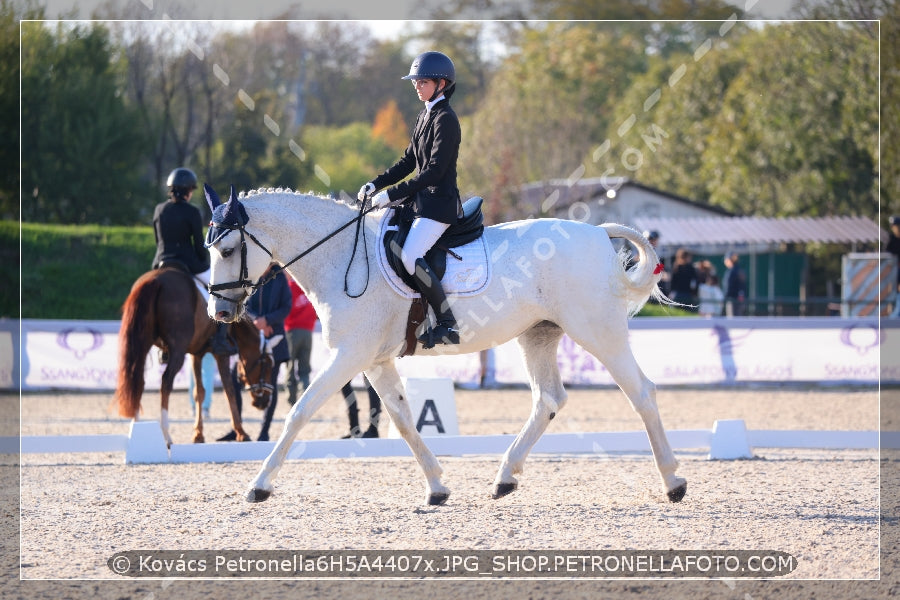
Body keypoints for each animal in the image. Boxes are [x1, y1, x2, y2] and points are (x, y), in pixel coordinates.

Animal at [117, 268, 278, 446]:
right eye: (268, 365)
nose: (265, 402)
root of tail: (155, 279)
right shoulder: (220, 354)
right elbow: (228, 390)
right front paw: (241, 432)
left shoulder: (196, 354)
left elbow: (199, 391)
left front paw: (198, 434)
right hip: (177, 350)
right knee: (166, 382)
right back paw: (166, 435)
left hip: (143, 343)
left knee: (138, 380)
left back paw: (137, 430)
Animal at [202, 184, 684, 506]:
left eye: (226, 249)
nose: (219, 312)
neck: (339, 256)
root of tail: (598, 233)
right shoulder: (374, 361)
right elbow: (402, 420)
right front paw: (436, 486)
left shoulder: (348, 356)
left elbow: (299, 413)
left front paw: (259, 485)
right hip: (539, 334)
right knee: (548, 399)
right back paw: (505, 477)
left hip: (597, 330)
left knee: (641, 393)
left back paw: (673, 482)